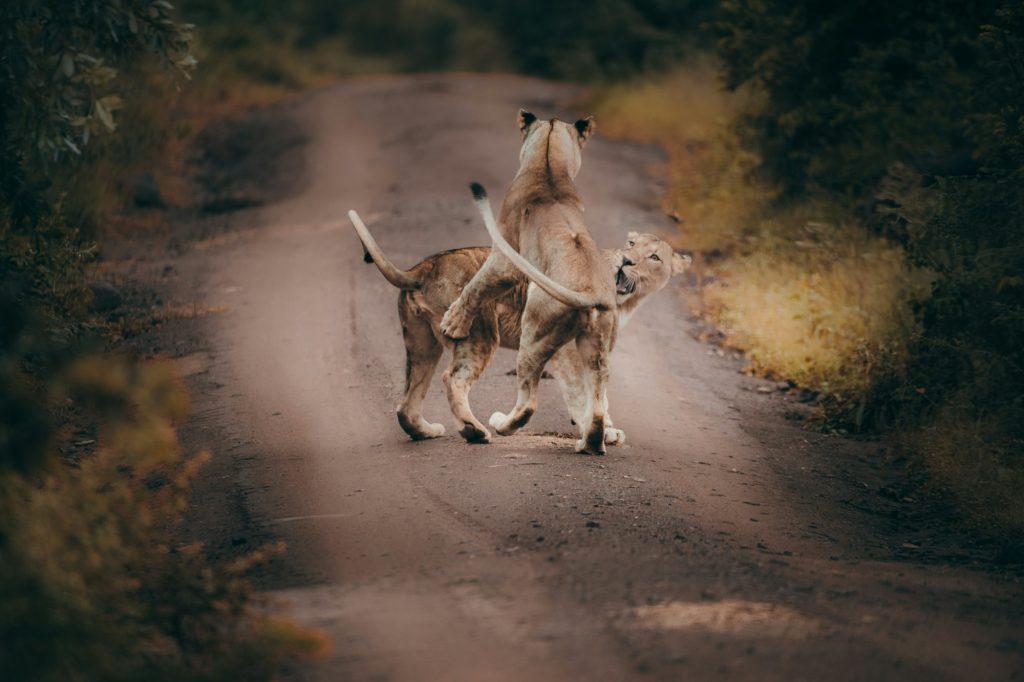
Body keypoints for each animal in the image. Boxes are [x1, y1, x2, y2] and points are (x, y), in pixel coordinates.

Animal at [348, 209, 690, 447]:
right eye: (631, 244)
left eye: (654, 257)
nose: (627, 261)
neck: (627, 300)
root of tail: (422, 267)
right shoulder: (567, 351)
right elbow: (586, 394)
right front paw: (602, 432)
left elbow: (598, 394)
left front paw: (604, 431)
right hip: (480, 333)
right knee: (452, 379)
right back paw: (476, 431)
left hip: (422, 343)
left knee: (407, 403)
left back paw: (427, 431)